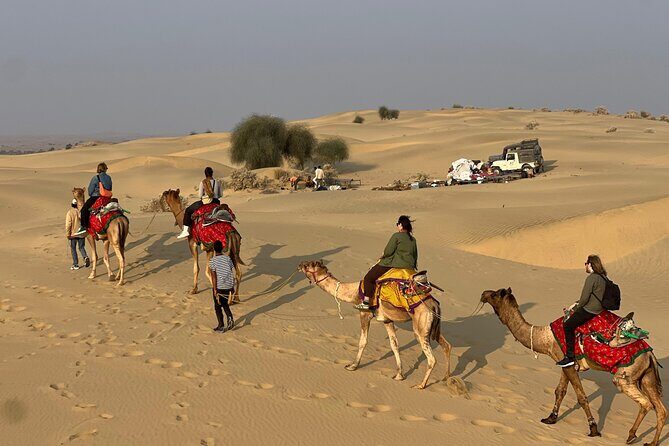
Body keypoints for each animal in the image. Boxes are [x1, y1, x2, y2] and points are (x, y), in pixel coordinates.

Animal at [298, 260, 451, 389]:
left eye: (308, 265)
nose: (299, 265)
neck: (354, 292)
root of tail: (434, 305)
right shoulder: (387, 320)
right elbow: (394, 345)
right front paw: (399, 375)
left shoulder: (364, 314)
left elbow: (363, 341)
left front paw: (352, 366)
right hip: (432, 327)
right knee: (446, 345)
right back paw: (446, 378)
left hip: (420, 325)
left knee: (431, 358)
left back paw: (421, 385)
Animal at [480, 288, 666, 446]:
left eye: (495, 294)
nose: (483, 294)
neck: (545, 338)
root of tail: (650, 354)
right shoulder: (565, 362)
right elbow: (560, 391)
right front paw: (550, 418)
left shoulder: (568, 362)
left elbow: (581, 397)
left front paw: (593, 429)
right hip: (647, 377)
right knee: (661, 409)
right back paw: (652, 442)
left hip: (625, 376)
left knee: (646, 403)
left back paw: (631, 435)